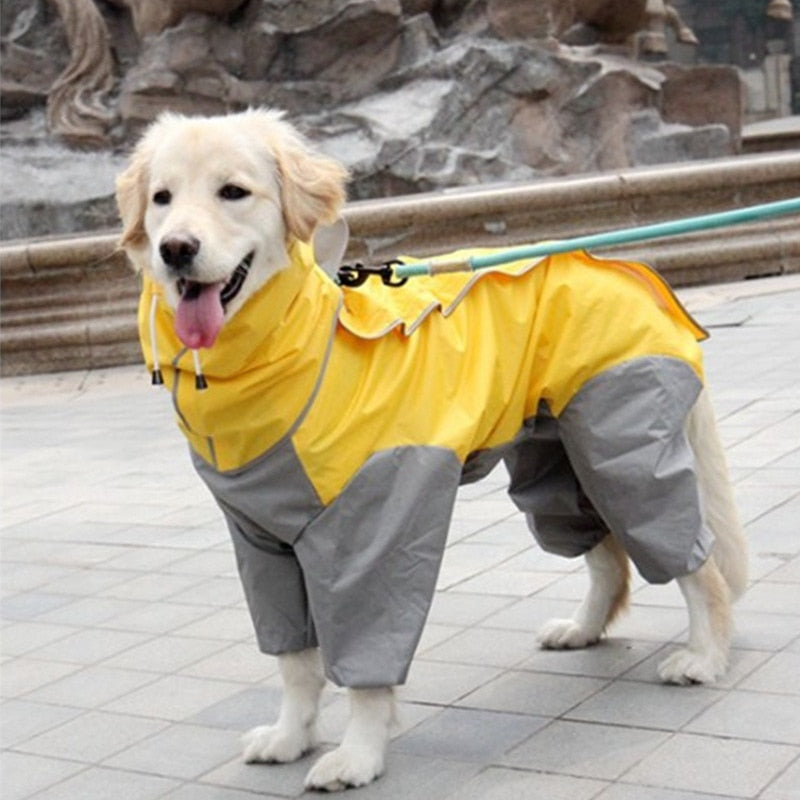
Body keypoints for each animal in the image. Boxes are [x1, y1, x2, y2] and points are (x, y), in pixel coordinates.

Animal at [114, 109, 752, 792]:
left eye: (233, 192)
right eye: (162, 199)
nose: (176, 250)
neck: (291, 351)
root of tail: (622, 268)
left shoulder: (369, 528)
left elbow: (366, 656)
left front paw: (358, 756)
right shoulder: (261, 542)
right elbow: (295, 659)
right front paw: (291, 737)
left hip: (622, 441)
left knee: (692, 559)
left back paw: (704, 656)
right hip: (557, 461)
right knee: (607, 556)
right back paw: (582, 630)